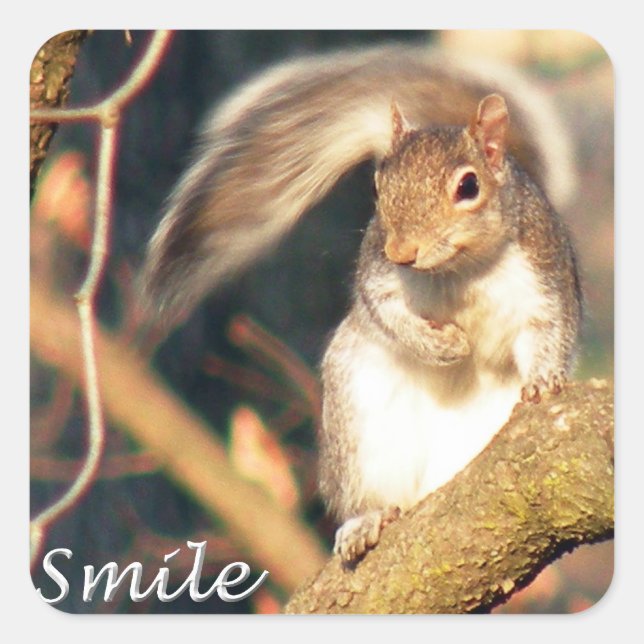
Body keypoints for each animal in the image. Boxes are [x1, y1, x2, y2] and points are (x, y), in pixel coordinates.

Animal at [140, 44, 582, 563]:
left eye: (468, 187)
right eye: (377, 186)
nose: (402, 252)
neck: (460, 270)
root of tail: (429, 487)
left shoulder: (543, 271)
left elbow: (549, 328)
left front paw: (544, 379)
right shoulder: (378, 272)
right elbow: (383, 312)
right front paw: (441, 346)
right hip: (359, 410)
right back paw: (365, 519)